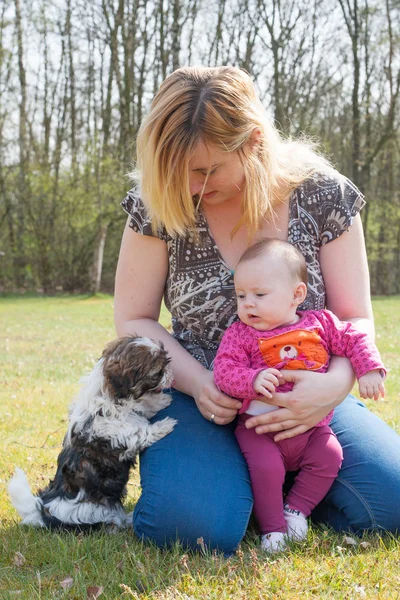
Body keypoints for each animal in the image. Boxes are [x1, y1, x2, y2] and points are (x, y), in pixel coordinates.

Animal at [7, 338, 176, 528]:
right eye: (158, 372)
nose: (170, 371)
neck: (111, 398)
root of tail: (46, 512)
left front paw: (160, 401)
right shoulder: (118, 431)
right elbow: (140, 432)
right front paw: (165, 425)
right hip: (95, 509)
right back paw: (126, 520)